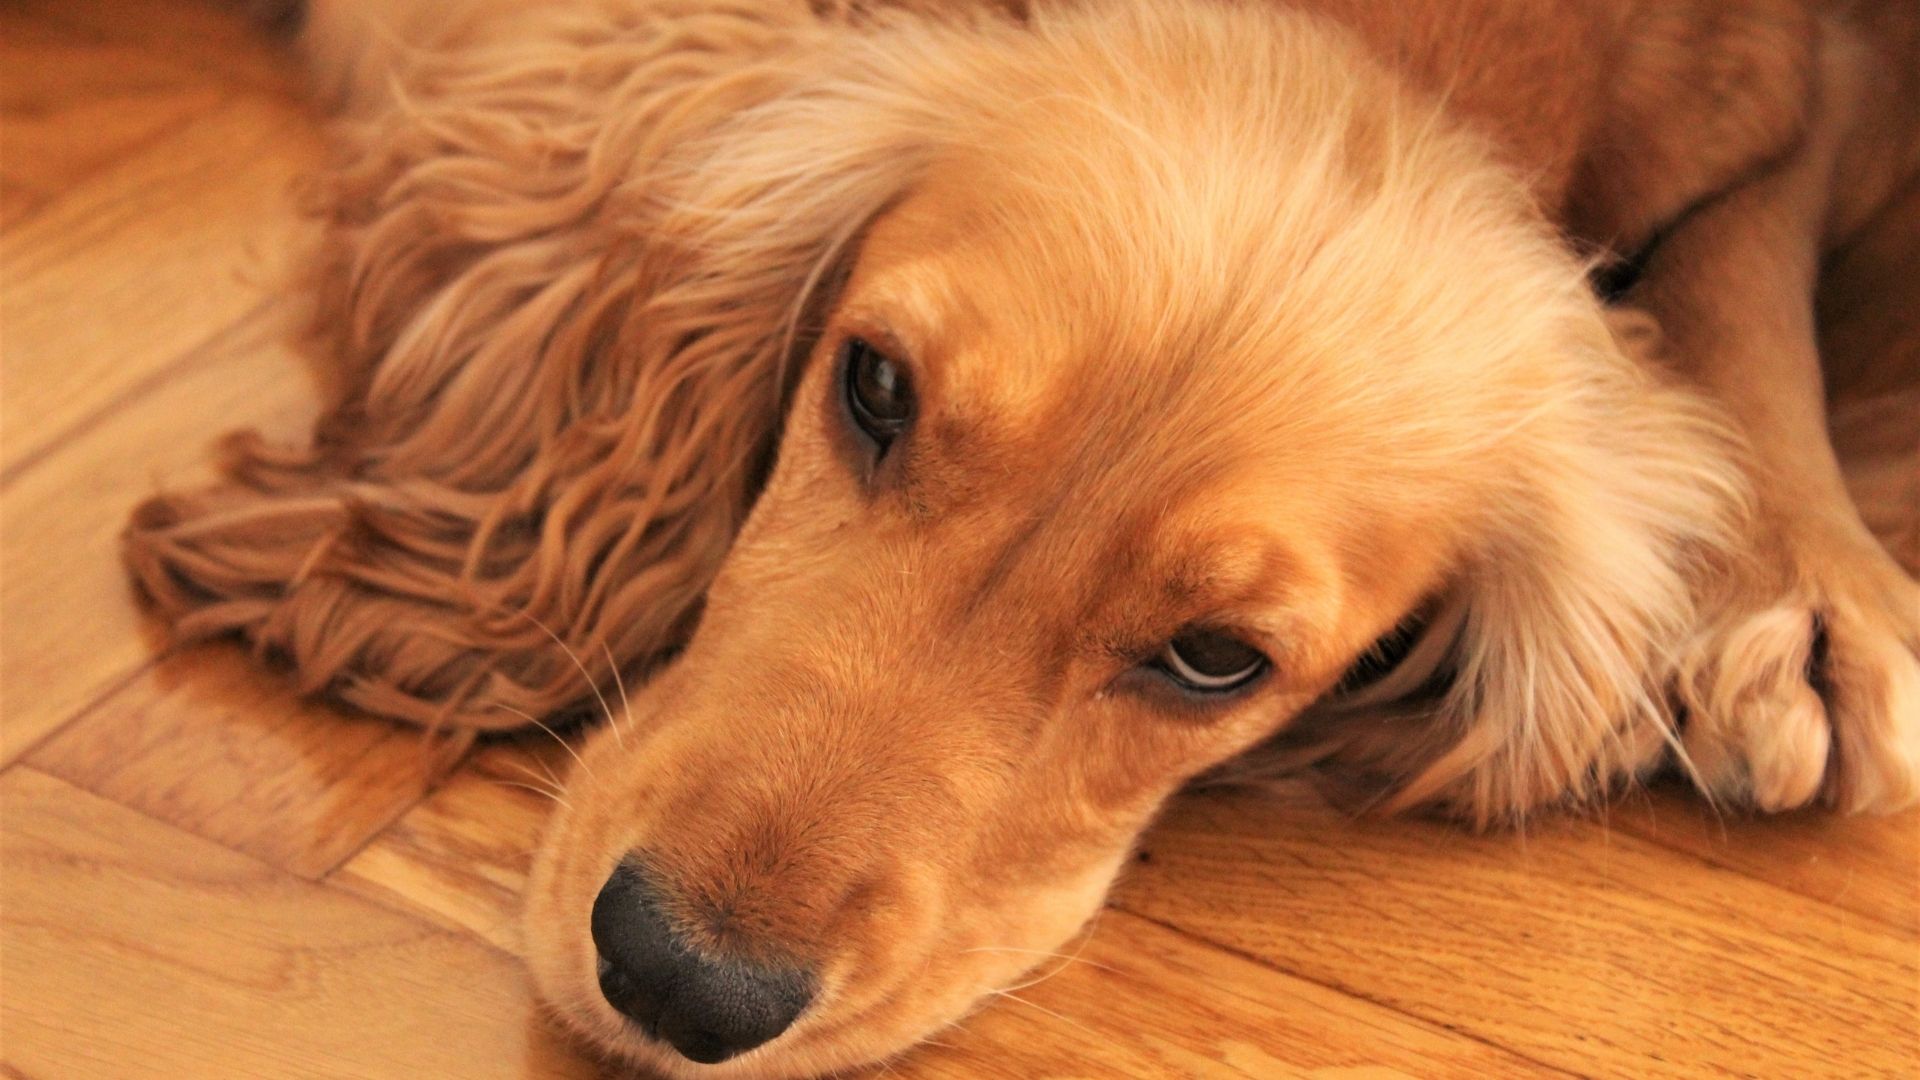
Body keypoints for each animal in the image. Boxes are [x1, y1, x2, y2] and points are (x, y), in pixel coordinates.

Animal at [127, 0, 1912, 1068]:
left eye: (1215, 660)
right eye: (874, 388)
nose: (678, 980)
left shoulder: (1796, 85)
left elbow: (1752, 252)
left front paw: (1803, 573)